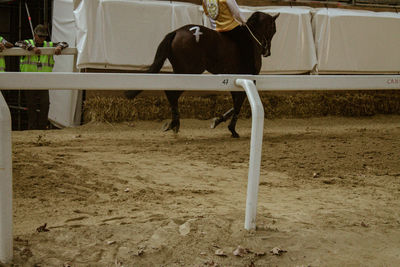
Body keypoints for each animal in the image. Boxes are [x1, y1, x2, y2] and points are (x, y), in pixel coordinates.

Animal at [126, 11, 280, 138]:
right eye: (273, 29)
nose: (267, 52)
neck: (252, 40)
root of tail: (176, 32)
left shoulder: (234, 81)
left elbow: (235, 104)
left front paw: (217, 120)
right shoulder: (249, 79)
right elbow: (238, 105)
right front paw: (231, 129)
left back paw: (175, 123)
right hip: (189, 73)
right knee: (171, 93)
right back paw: (174, 123)